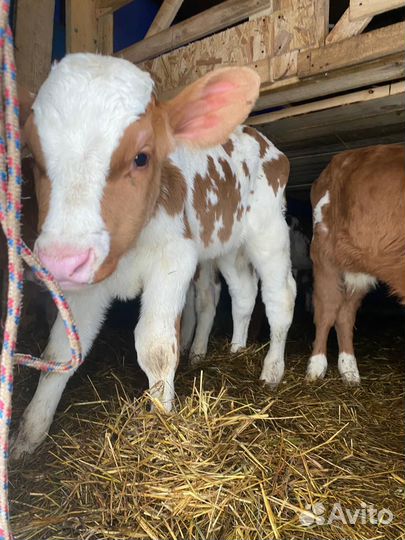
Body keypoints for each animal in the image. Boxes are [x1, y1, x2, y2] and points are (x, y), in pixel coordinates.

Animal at [12, 52, 296, 458]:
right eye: (34, 157)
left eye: (142, 157)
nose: (60, 261)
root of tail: (260, 140)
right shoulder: (86, 281)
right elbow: (58, 354)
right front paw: (27, 438)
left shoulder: (173, 259)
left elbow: (156, 348)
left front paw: (161, 421)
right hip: (225, 240)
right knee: (242, 291)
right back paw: (237, 348)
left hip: (269, 231)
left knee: (280, 296)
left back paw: (272, 370)